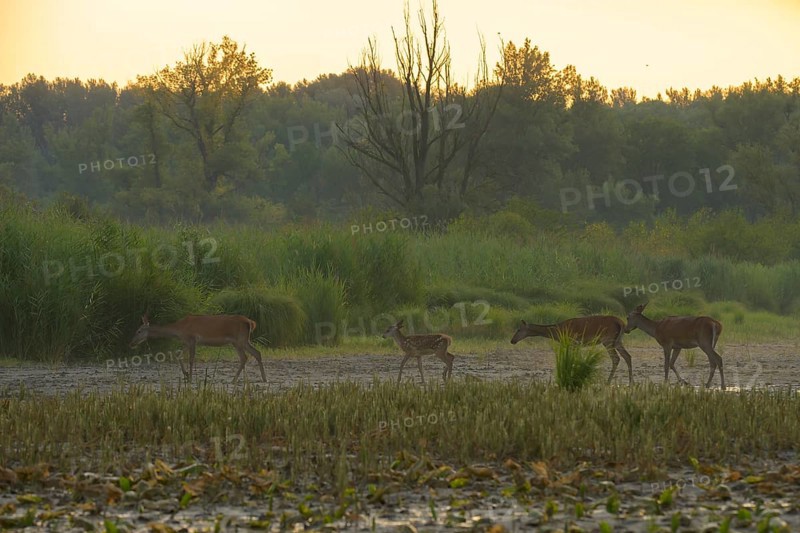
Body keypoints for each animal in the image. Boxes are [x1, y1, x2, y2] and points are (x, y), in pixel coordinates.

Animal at [129, 314, 266, 383]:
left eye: (138, 331)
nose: (131, 343)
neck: (179, 329)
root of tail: (250, 322)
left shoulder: (192, 339)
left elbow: (191, 359)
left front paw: (190, 378)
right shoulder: (186, 341)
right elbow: (178, 354)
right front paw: (186, 374)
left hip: (239, 340)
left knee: (245, 357)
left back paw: (234, 379)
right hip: (242, 340)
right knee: (257, 353)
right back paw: (264, 378)